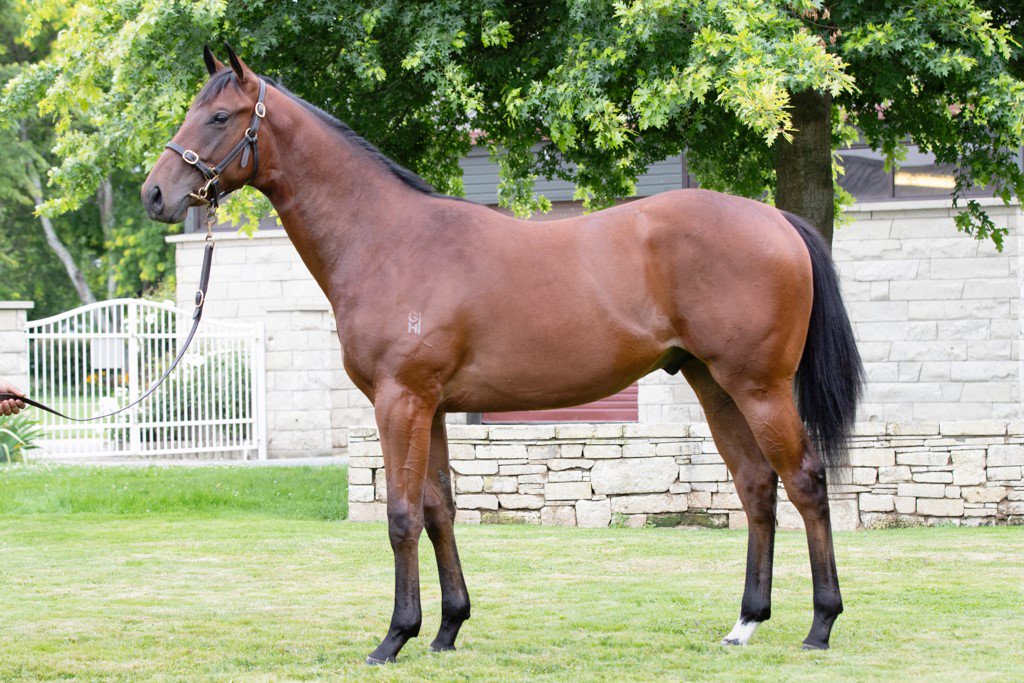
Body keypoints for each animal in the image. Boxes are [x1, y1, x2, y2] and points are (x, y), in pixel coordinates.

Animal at [142, 47, 863, 663]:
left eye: (220, 116)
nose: (154, 194)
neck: (386, 240)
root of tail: (775, 220)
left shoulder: (399, 400)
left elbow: (401, 515)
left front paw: (394, 636)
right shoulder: (431, 406)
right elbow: (439, 509)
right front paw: (447, 628)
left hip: (760, 386)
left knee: (805, 483)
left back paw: (821, 625)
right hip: (713, 383)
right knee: (756, 486)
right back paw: (745, 623)